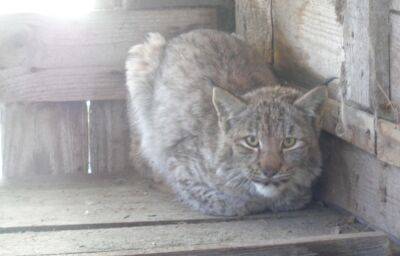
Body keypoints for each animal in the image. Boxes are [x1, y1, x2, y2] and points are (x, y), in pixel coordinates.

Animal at [126, 29, 326, 215]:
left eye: (289, 142)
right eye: (251, 141)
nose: (269, 171)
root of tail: (195, 31)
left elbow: (297, 194)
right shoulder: (177, 165)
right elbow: (228, 202)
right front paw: (252, 201)